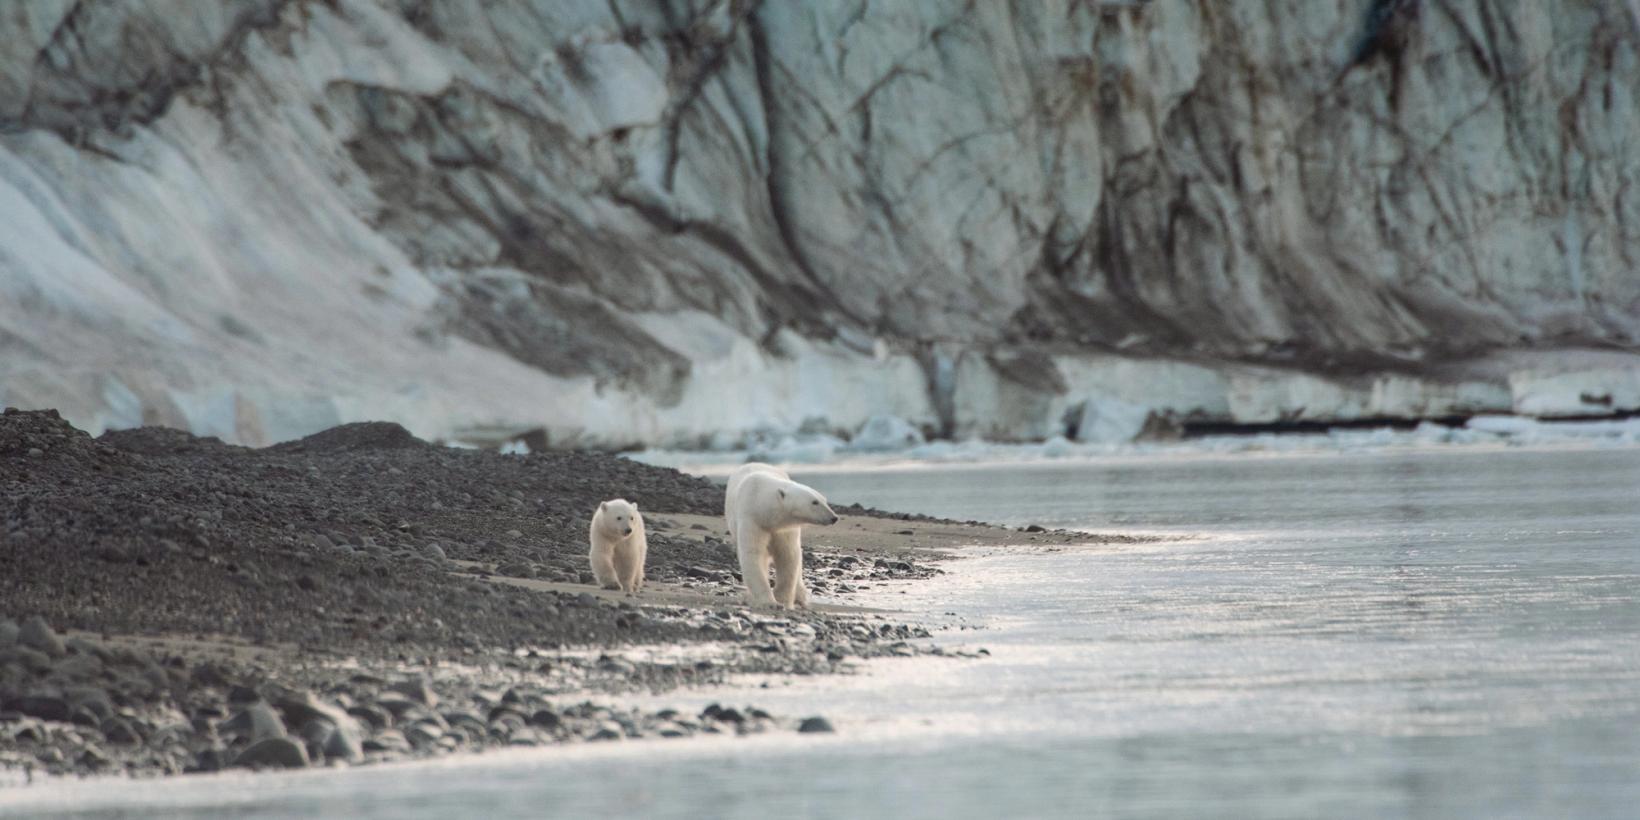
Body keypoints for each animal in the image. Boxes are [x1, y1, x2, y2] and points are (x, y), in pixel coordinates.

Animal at [724, 463, 839, 608]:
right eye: (814, 502)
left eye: (824, 500)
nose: (833, 517)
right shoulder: (751, 519)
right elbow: (753, 555)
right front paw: (769, 602)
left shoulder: (784, 529)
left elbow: (788, 555)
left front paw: (783, 600)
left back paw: (801, 597)